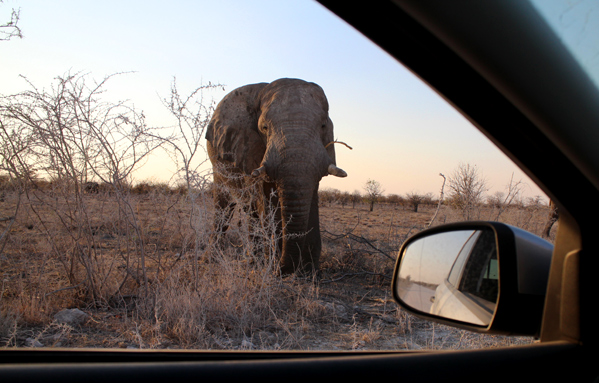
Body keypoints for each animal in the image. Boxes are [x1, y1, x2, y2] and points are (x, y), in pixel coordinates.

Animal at [206, 78, 346, 276]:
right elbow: (263, 200)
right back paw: (213, 259)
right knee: (225, 207)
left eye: (323, 126)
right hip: (218, 164)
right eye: (264, 128)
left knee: (247, 210)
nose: (282, 268)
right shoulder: (250, 149)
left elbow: (311, 198)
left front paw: (309, 272)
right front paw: (272, 266)